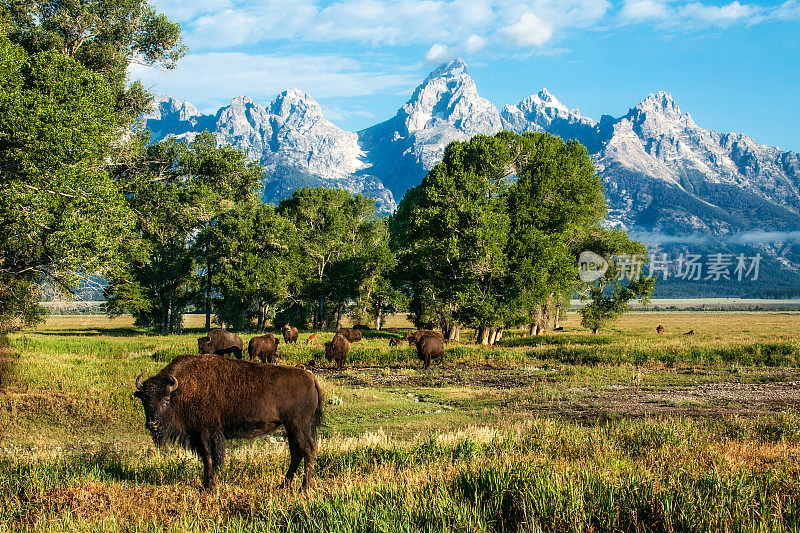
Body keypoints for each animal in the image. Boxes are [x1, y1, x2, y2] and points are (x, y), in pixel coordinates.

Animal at [134, 354, 322, 490]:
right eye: (144, 399)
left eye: (166, 399)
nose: (152, 424)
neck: (181, 390)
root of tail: (311, 378)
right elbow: (207, 457)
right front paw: (207, 483)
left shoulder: (206, 431)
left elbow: (209, 457)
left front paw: (208, 486)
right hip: (291, 427)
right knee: (296, 452)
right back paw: (283, 485)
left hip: (299, 425)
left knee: (307, 449)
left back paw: (304, 488)